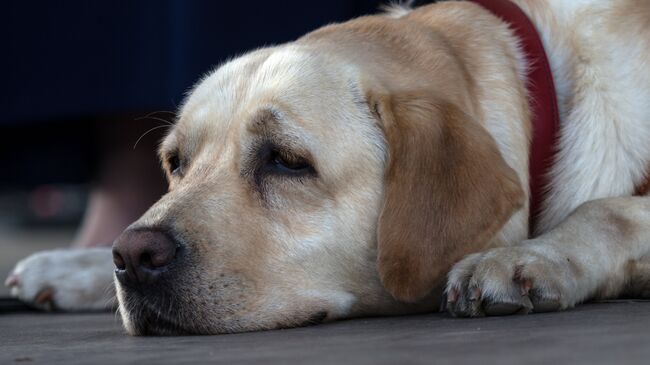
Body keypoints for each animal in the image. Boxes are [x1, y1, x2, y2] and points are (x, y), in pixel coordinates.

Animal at [6, 0, 648, 334]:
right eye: (175, 163)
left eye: (287, 162)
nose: (133, 257)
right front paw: (71, 267)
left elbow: (607, 210)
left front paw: (529, 259)